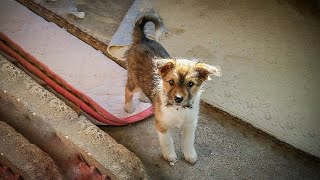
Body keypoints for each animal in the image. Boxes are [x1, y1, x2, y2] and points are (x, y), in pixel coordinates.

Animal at [124, 9, 221, 165]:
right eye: (171, 82)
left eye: (190, 84)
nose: (178, 99)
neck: (179, 109)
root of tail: (143, 39)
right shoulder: (162, 124)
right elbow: (167, 141)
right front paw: (170, 156)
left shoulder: (190, 124)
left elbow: (188, 142)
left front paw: (190, 155)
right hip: (134, 80)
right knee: (128, 89)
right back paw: (128, 107)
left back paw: (145, 97)